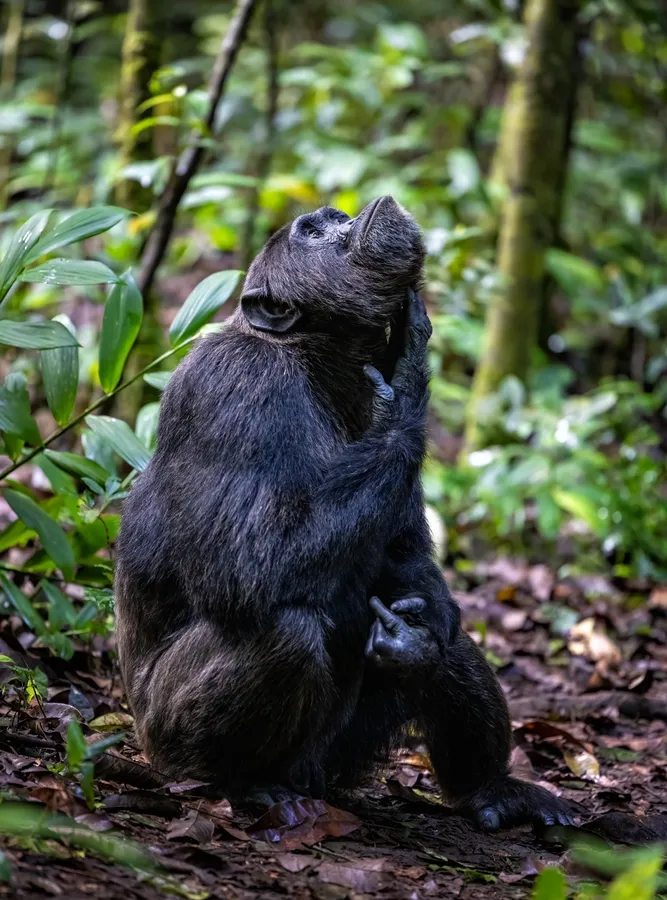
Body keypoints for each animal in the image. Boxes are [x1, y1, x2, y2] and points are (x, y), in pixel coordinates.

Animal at [115, 197, 574, 832]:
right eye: (313, 232)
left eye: (330, 219)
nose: (346, 215)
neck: (315, 362)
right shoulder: (233, 387)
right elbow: (243, 565)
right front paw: (406, 385)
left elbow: (408, 559)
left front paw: (414, 642)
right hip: (174, 742)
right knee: (284, 631)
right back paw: (248, 784)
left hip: (338, 758)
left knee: (448, 634)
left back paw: (491, 788)